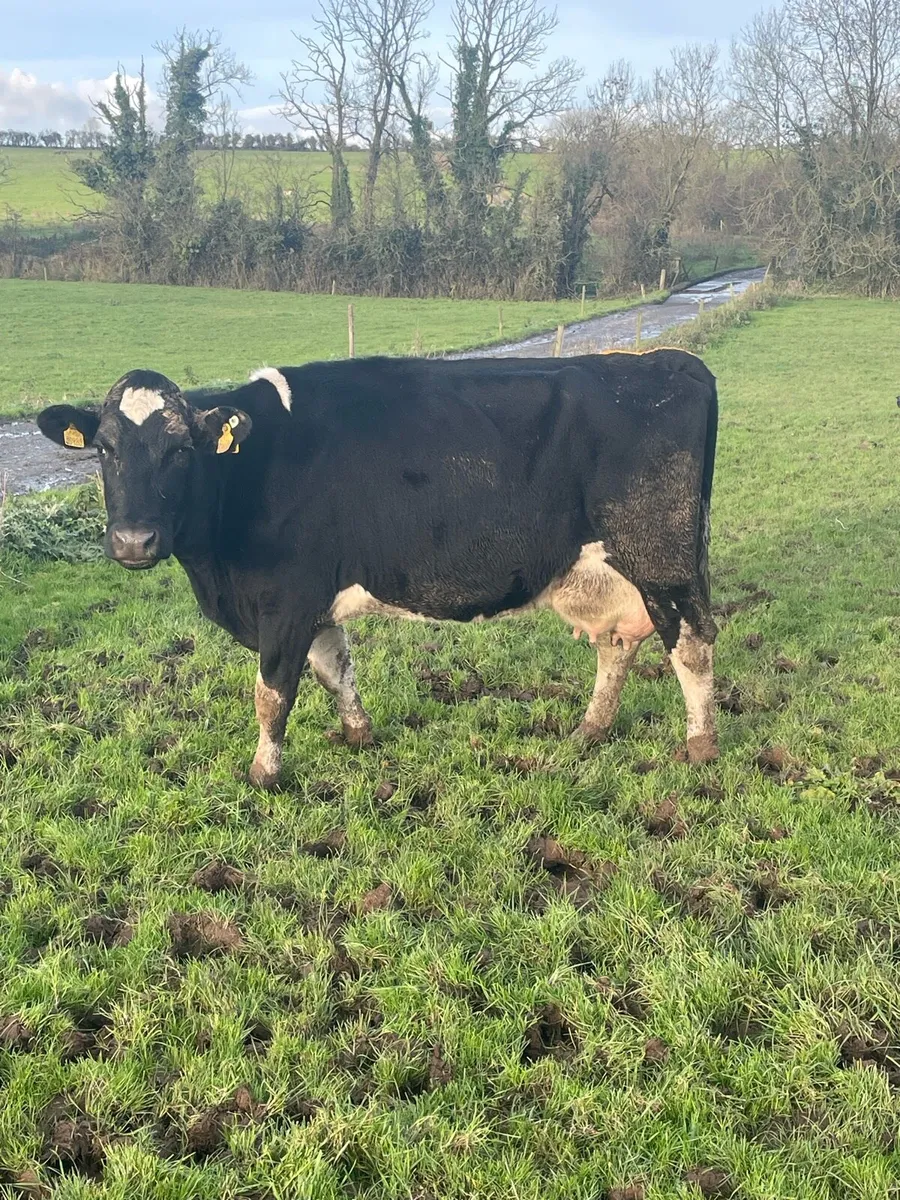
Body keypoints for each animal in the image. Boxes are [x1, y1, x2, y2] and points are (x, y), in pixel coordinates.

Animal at [37, 350, 719, 788]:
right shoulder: (314, 599)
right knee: (619, 645)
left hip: (662, 558)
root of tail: (666, 361)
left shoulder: (284, 600)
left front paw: (263, 774)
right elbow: (335, 669)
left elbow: (272, 692)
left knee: (692, 644)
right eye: (104, 448)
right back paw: (589, 731)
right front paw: (359, 735)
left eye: (181, 450)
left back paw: (700, 747)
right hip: (612, 572)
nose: (133, 540)